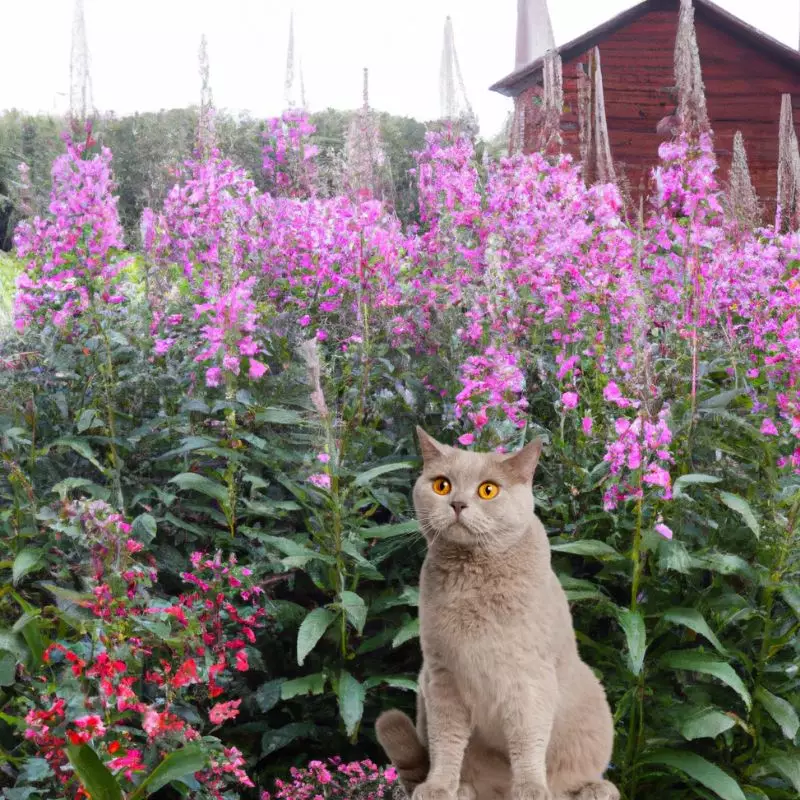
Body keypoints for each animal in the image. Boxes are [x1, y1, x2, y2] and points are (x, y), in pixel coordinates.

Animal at [376, 428, 620, 800]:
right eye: (442, 485)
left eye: (488, 490)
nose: (457, 504)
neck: (473, 578)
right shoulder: (441, 676)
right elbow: (446, 742)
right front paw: (439, 787)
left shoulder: (529, 678)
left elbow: (527, 739)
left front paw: (531, 789)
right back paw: (464, 789)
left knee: (570, 781)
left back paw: (595, 789)